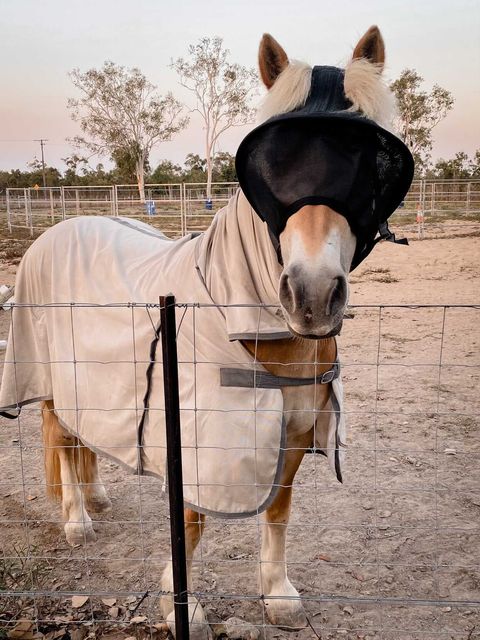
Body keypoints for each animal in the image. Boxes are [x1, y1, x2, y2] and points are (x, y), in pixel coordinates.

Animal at [0, 26, 413, 639]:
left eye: (368, 166)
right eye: (273, 166)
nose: (312, 294)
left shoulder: (290, 435)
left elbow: (278, 512)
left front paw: (278, 596)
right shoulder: (197, 438)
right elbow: (192, 524)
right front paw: (184, 609)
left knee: (80, 437)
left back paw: (97, 496)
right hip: (49, 379)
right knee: (58, 435)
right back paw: (76, 519)